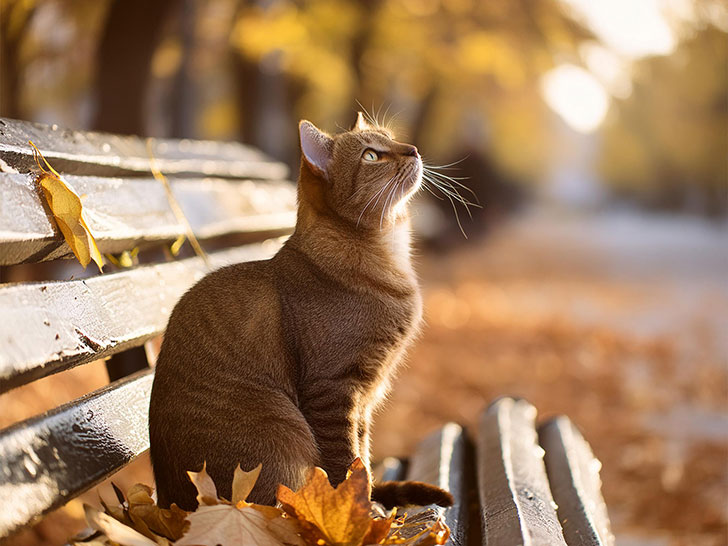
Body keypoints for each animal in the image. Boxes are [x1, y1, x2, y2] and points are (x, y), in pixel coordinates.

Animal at [149, 112, 452, 508]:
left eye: (390, 137)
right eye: (371, 155)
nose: (413, 149)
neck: (389, 256)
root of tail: (168, 501)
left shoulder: (365, 398)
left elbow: (364, 456)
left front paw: (369, 501)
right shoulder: (333, 390)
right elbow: (346, 464)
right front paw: (356, 511)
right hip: (284, 428)